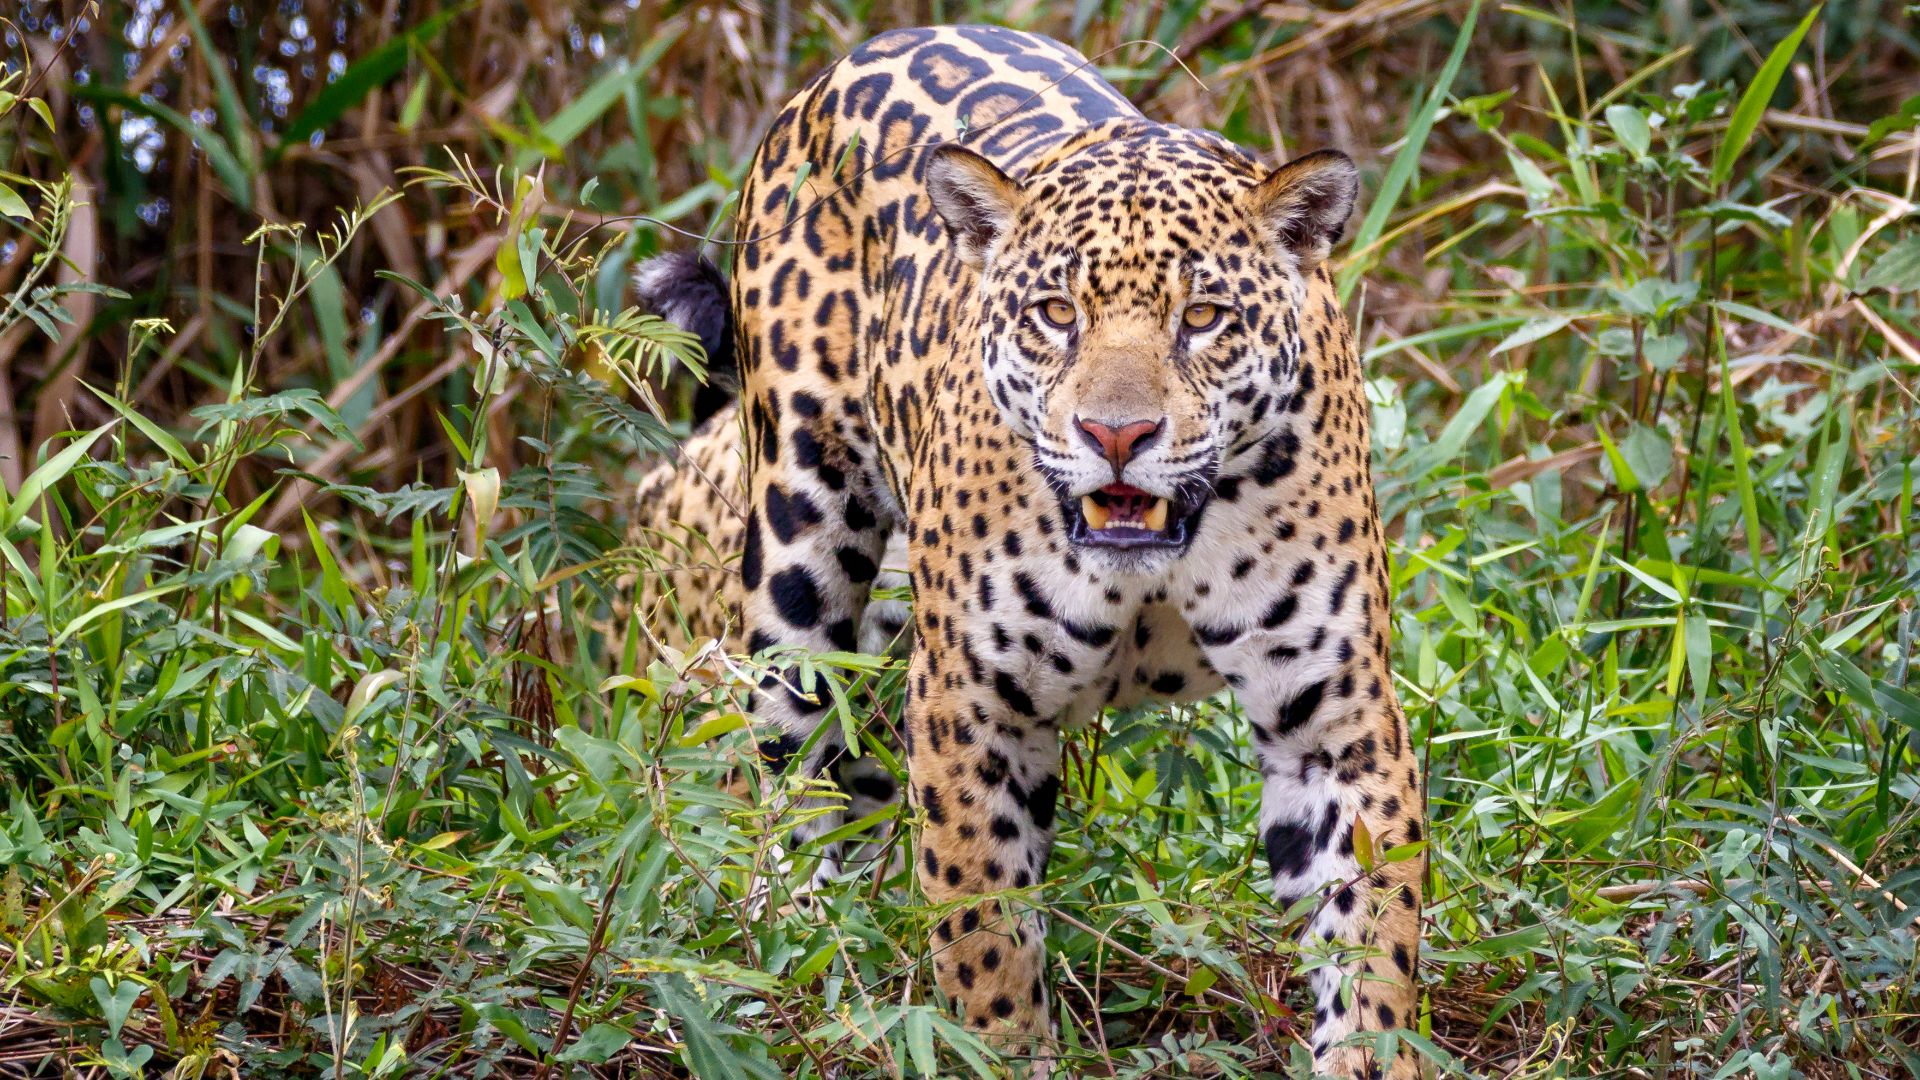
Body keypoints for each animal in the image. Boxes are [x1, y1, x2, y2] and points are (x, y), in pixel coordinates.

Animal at [628, 24, 1426, 1079]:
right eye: (1056, 312)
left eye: (1203, 317)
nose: (1116, 434)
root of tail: (875, 45)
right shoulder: (972, 704)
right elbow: (985, 927)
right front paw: (1004, 1046)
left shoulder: (1336, 722)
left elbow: (1372, 941)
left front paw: (1368, 1052)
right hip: (799, 544)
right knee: (777, 763)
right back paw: (789, 949)